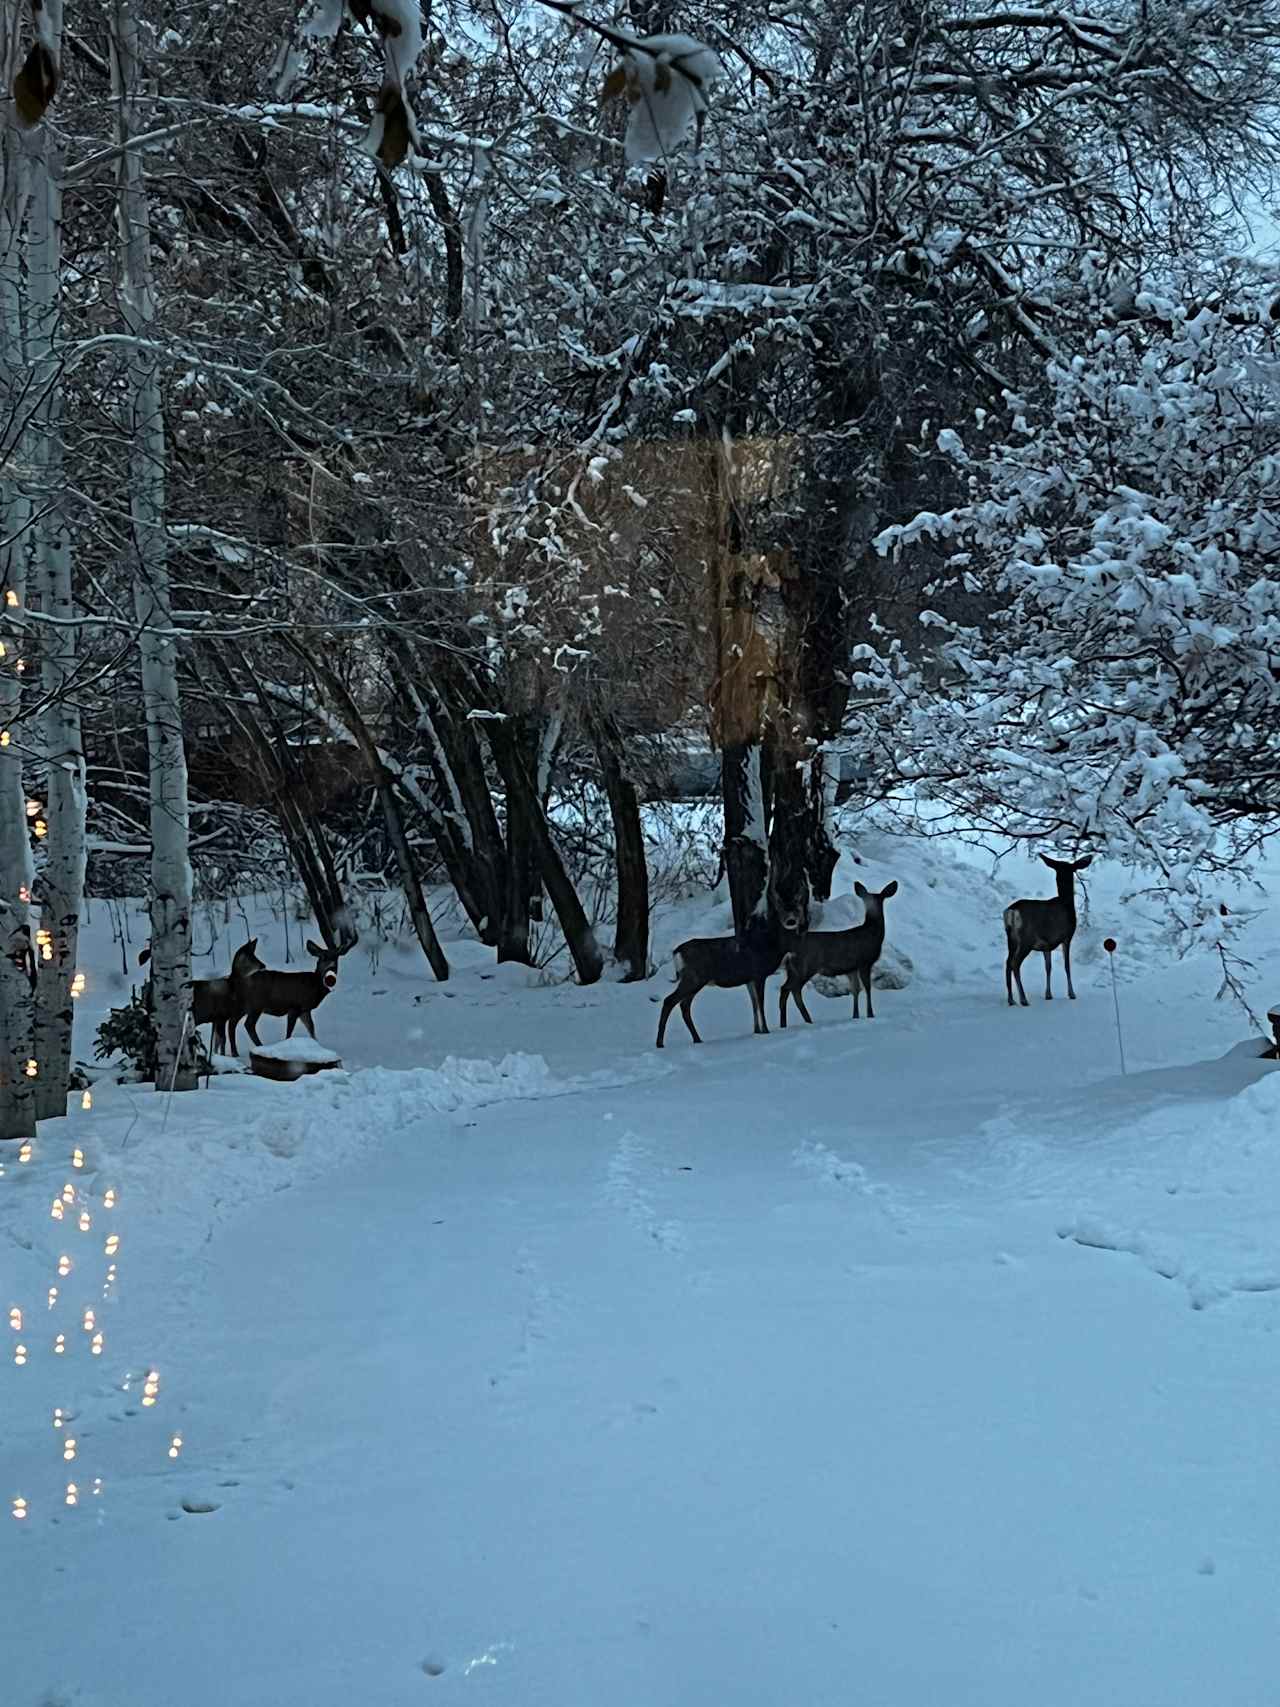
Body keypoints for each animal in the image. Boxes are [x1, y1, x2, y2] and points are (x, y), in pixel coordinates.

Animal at [662, 908, 802, 1051]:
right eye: (795, 932)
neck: (770, 947)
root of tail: (676, 952)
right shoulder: (758, 975)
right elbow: (760, 1003)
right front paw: (766, 1031)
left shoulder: (749, 980)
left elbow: (754, 1003)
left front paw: (757, 1031)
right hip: (693, 978)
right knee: (669, 1001)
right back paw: (660, 1043)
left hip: (694, 981)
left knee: (684, 1005)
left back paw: (697, 1039)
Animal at [778, 880, 894, 1024]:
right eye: (867, 901)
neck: (873, 934)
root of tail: (791, 951)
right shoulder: (865, 962)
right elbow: (867, 988)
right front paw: (870, 1014)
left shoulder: (852, 968)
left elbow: (855, 990)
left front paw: (855, 1016)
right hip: (805, 967)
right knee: (792, 989)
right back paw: (805, 1020)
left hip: (793, 969)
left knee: (786, 989)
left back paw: (788, 1022)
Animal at [1010, 850, 1099, 996]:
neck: (1066, 903)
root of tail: (1012, 910)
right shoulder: (1067, 936)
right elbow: (1067, 966)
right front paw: (1071, 993)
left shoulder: (1047, 943)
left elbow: (1048, 967)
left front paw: (1048, 994)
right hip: (1025, 939)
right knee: (1015, 964)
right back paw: (1022, 997)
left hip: (1012, 940)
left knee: (1007, 964)